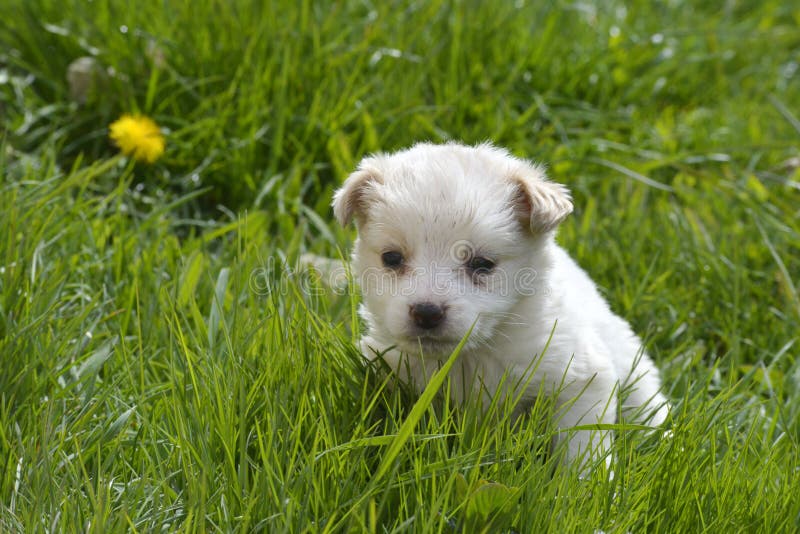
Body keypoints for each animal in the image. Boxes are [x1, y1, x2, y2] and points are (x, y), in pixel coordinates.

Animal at [332, 141, 668, 464]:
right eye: (391, 258)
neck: (470, 355)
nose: (427, 313)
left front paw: (582, 483)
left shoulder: (582, 379)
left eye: (482, 263)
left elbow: (582, 448)